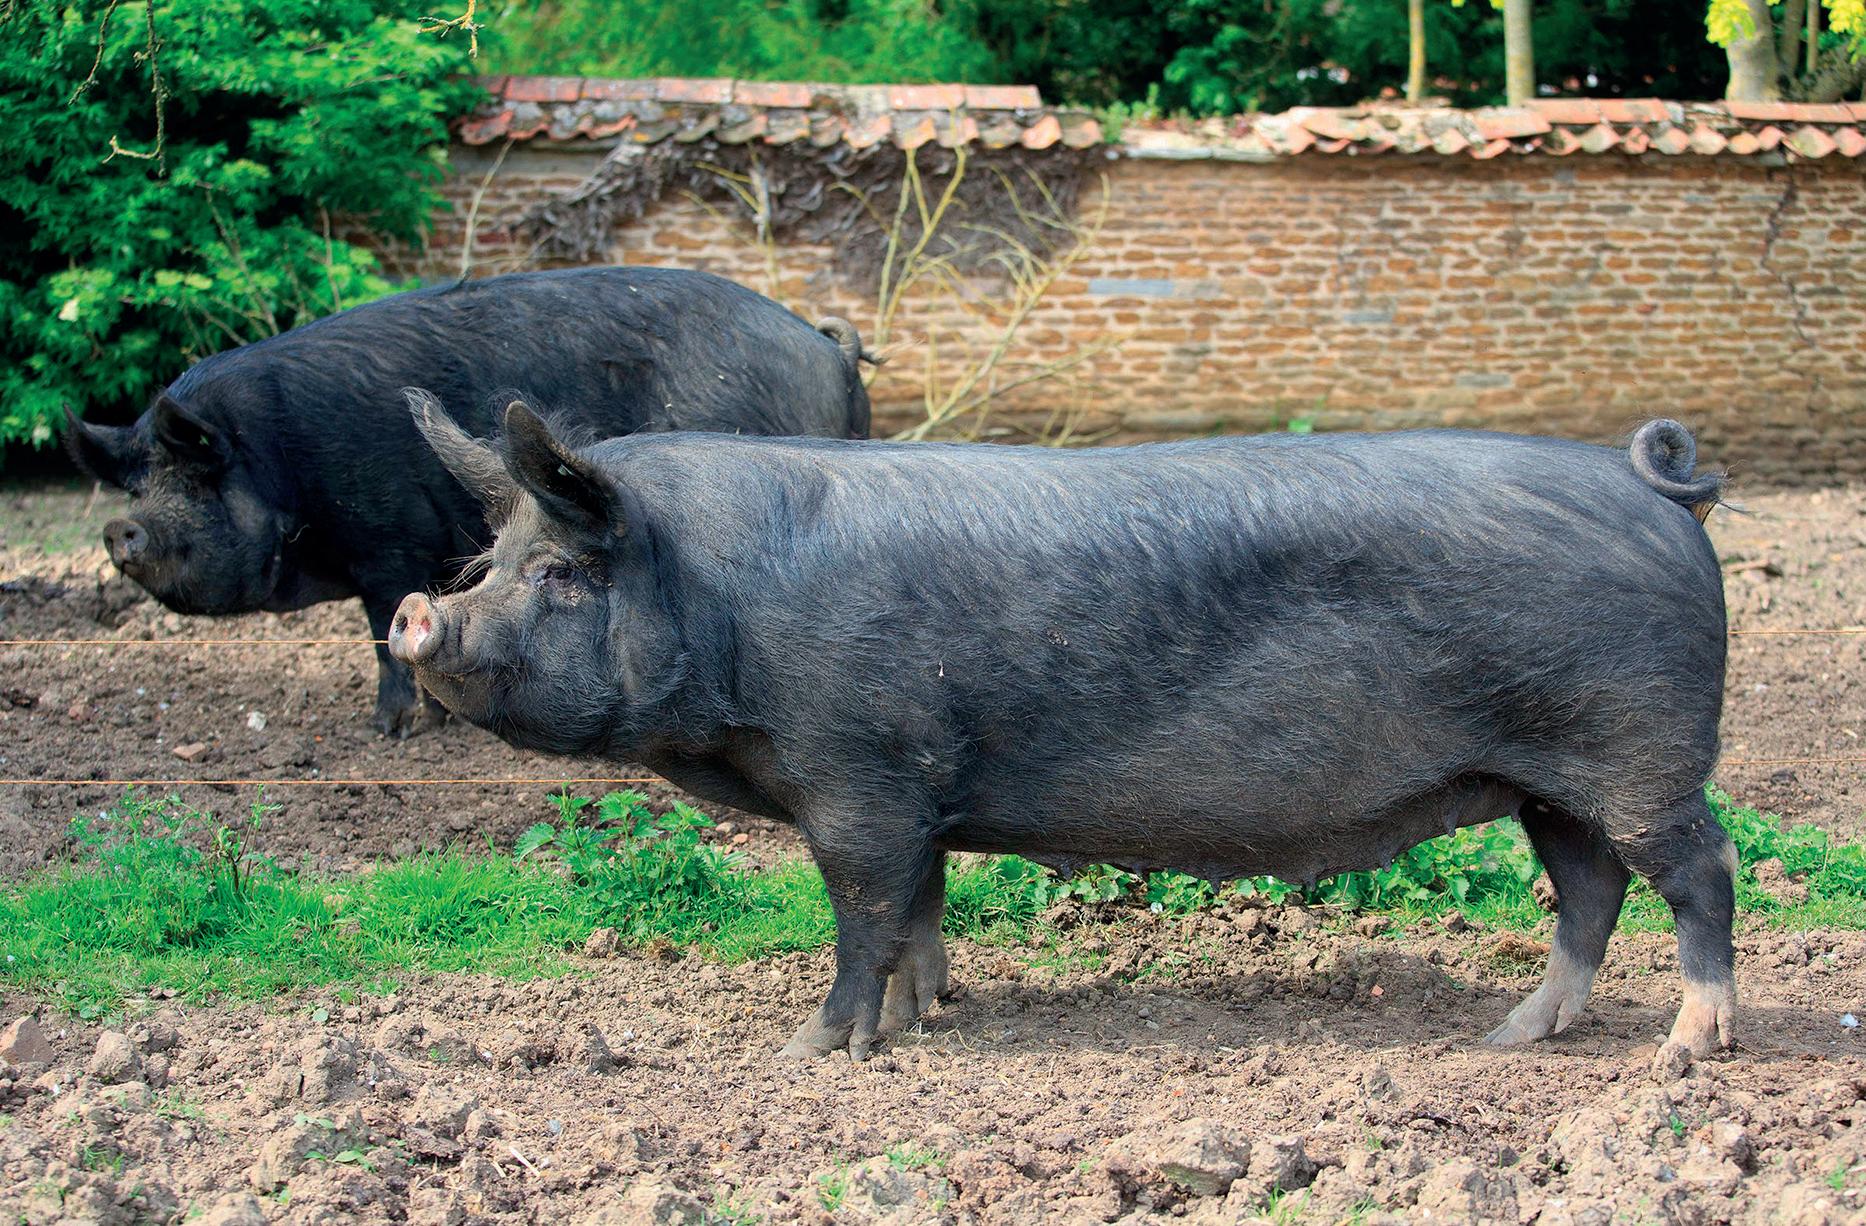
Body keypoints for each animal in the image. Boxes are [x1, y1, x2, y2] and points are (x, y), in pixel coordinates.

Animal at [62, 267, 872, 736]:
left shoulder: (385, 545)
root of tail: (825, 346)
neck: (279, 463)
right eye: (135, 482)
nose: (120, 528)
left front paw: (390, 730)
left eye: (189, 479)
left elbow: (378, 627)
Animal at [390, 400, 1733, 1069]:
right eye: (491, 557)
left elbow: (862, 911)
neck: (724, 599)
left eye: (564, 572)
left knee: (1699, 871)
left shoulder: (859, 776)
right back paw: (1513, 1034)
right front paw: (924, 1017)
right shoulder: (920, 790)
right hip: (1549, 779)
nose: (418, 611)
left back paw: (1686, 1050)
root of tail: (1650, 486)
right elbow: (919, 906)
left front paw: (810, 1048)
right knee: (1589, 889)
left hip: (1641, 750)